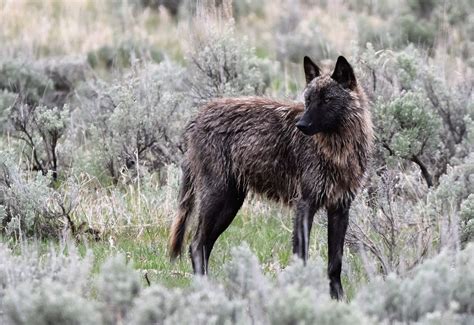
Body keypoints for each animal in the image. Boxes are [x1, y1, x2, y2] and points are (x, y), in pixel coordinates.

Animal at [168, 55, 372, 298]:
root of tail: (196, 117)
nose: (301, 125)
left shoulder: (340, 209)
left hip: (230, 204)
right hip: (218, 199)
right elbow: (301, 257)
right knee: (196, 245)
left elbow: (335, 263)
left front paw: (338, 300)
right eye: (308, 99)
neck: (336, 151)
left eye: (327, 99)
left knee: (203, 245)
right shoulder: (305, 205)